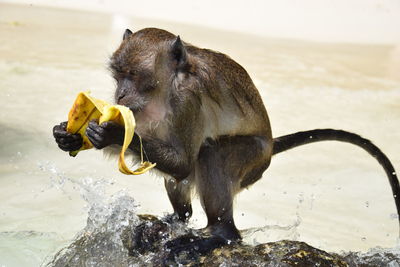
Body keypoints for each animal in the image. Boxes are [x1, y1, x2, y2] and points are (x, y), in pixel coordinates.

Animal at [53, 28, 400, 254]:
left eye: (135, 76)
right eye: (118, 75)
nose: (120, 94)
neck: (168, 87)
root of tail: (270, 145)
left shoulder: (188, 101)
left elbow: (182, 163)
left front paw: (110, 132)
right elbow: (172, 162)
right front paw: (68, 134)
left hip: (254, 160)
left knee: (210, 155)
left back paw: (221, 235)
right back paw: (178, 219)